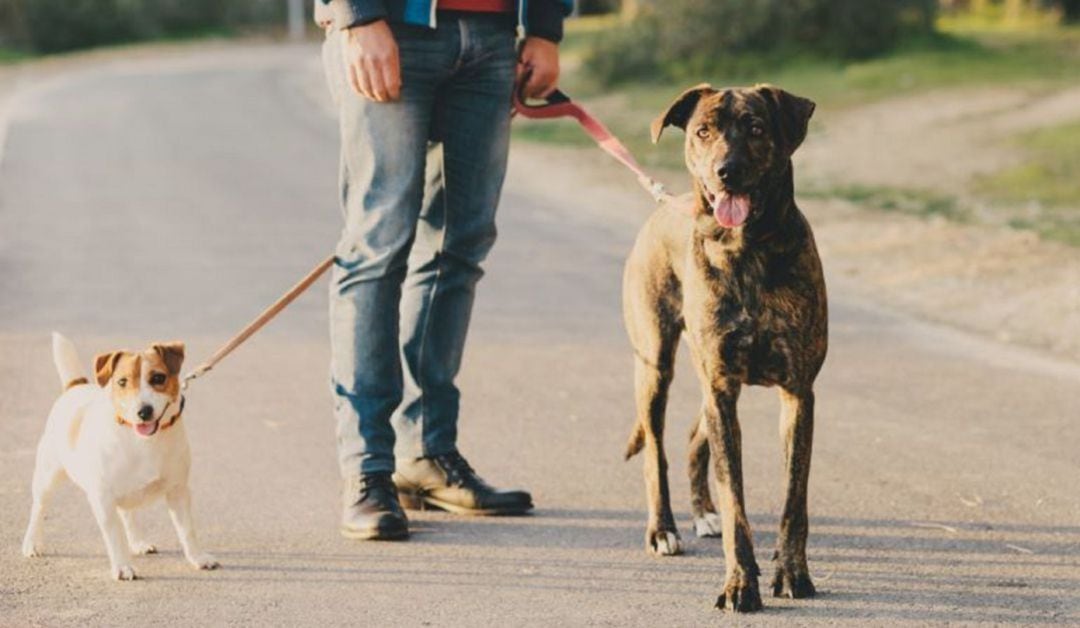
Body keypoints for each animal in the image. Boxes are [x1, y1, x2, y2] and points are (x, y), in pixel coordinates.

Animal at [23, 332, 217, 579]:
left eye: (158, 378)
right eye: (122, 382)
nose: (143, 411)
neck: (143, 441)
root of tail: (76, 386)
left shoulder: (178, 491)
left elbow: (187, 530)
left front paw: (197, 558)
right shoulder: (103, 498)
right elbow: (115, 536)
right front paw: (122, 566)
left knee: (128, 514)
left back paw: (138, 542)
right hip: (47, 478)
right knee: (38, 509)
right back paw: (32, 543)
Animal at [622, 84, 820, 613]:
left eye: (755, 127)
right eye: (702, 131)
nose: (725, 171)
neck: (745, 248)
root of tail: (665, 204)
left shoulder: (798, 393)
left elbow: (794, 501)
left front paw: (792, 572)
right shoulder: (722, 387)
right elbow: (738, 505)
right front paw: (739, 583)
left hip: (713, 385)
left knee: (696, 438)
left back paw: (702, 513)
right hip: (657, 365)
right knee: (655, 453)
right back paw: (664, 529)